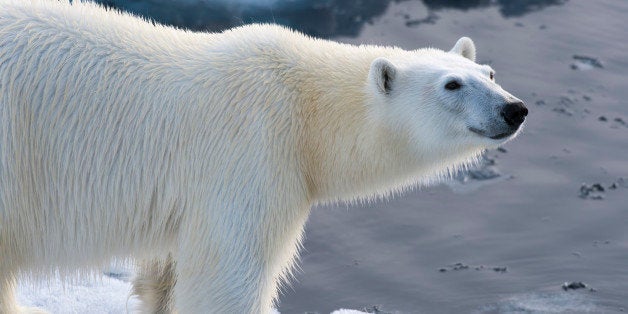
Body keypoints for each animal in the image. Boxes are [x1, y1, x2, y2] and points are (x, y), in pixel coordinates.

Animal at [0, 1, 528, 312]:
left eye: (489, 72)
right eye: (452, 84)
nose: (514, 109)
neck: (304, 104)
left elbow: (163, 276)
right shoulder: (253, 153)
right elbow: (226, 279)